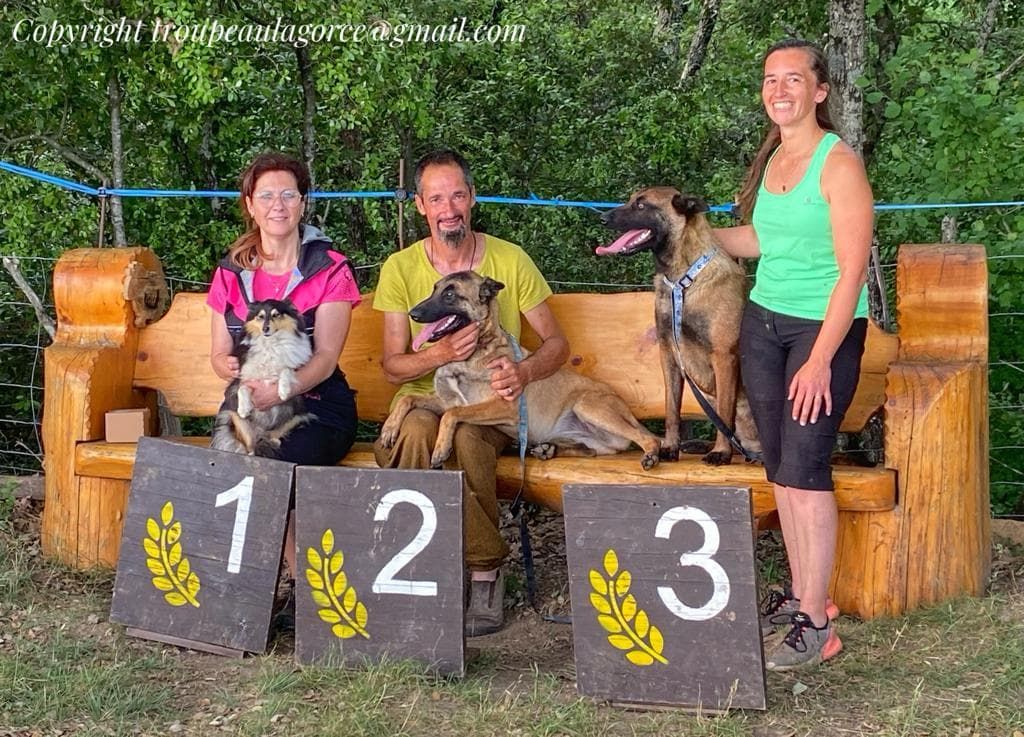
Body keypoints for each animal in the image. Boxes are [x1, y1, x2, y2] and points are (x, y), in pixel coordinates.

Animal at [209, 298, 313, 454]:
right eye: (260, 316)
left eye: (276, 315)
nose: (265, 329)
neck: (270, 343)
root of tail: (261, 432)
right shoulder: (243, 376)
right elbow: (242, 388)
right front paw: (244, 408)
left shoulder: (294, 366)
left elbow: (285, 370)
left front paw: (283, 391)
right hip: (240, 423)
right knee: (250, 448)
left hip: (296, 417)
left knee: (274, 436)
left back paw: (274, 442)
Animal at [380, 272, 659, 472]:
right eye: (434, 289)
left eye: (450, 294)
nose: (413, 313)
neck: (472, 354)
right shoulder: (444, 400)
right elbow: (409, 399)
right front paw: (390, 428)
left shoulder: (503, 406)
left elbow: (452, 414)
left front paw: (440, 447)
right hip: (589, 435)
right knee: (596, 449)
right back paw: (548, 450)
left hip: (588, 406)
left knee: (646, 438)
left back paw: (651, 454)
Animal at [598, 187, 757, 462]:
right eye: (631, 200)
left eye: (641, 205)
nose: (603, 218)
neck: (682, 280)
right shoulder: (669, 354)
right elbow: (672, 410)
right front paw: (671, 447)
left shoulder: (724, 357)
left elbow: (724, 413)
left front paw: (720, 452)